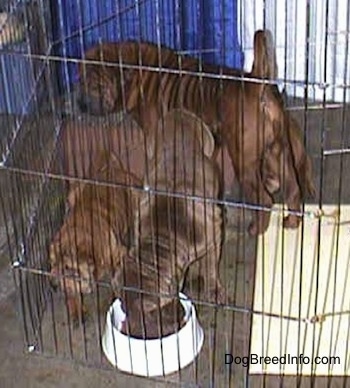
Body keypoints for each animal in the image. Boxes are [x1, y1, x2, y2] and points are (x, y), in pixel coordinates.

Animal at [77, 34, 284, 235]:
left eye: (94, 85)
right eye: (80, 80)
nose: (80, 104)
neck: (138, 73)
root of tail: (256, 84)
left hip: (243, 161)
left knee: (264, 199)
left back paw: (257, 229)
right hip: (271, 148)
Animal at [113, 110, 224, 340]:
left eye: (149, 312)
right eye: (124, 306)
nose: (129, 329)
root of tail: (180, 112)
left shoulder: (215, 232)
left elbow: (211, 266)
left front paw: (213, 289)